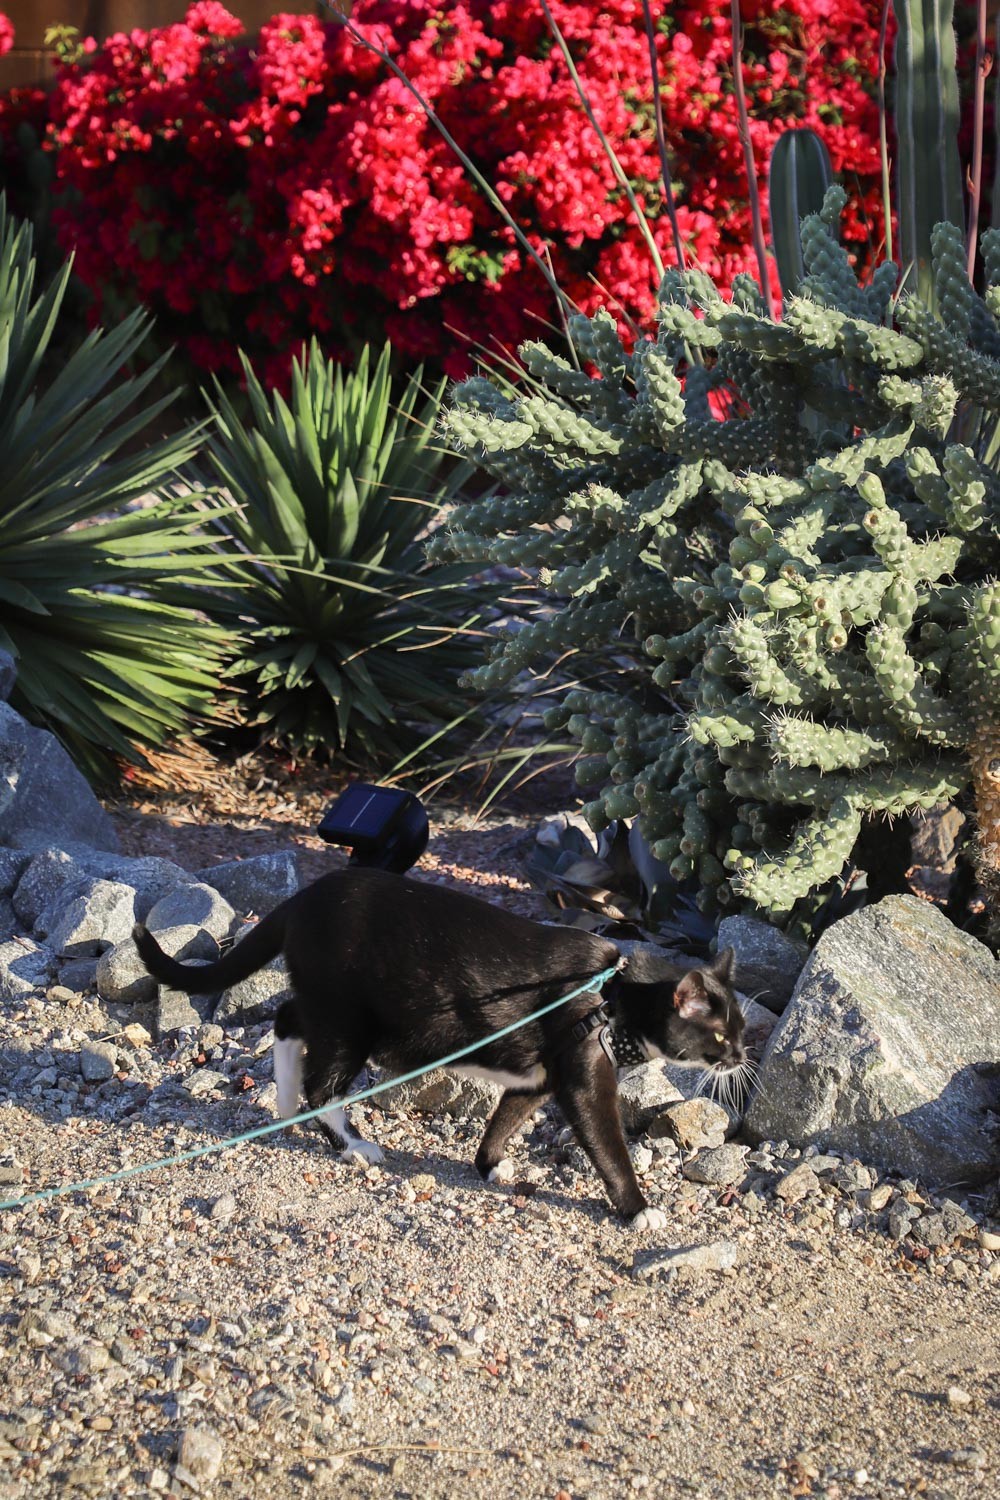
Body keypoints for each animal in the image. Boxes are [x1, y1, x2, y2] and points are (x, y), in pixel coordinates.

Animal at [134, 870, 743, 1230]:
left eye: (740, 1031)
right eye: (719, 1035)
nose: (739, 1057)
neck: (611, 995)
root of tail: (304, 896)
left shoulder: (539, 1077)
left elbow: (505, 1117)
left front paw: (490, 1165)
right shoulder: (582, 1072)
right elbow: (607, 1144)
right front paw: (638, 1210)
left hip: (334, 1006)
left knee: (287, 1019)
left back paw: (283, 1104)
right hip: (351, 1019)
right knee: (321, 1085)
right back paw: (351, 1144)